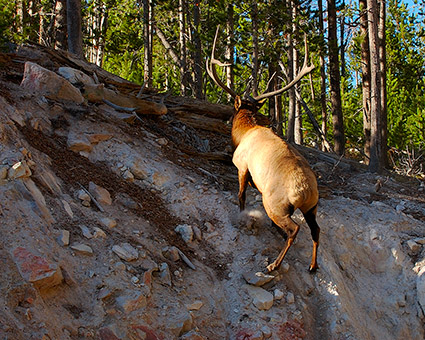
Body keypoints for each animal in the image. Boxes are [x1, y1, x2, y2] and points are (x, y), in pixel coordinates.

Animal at [207, 26, 320, 272]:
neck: (243, 133)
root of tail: (306, 191)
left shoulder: (242, 166)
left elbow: (240, 195)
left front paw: (241, 215)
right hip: (312, 207)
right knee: (316, 230)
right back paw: (313, 266)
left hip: (275, 204)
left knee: (294, 229)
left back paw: (274, 264)